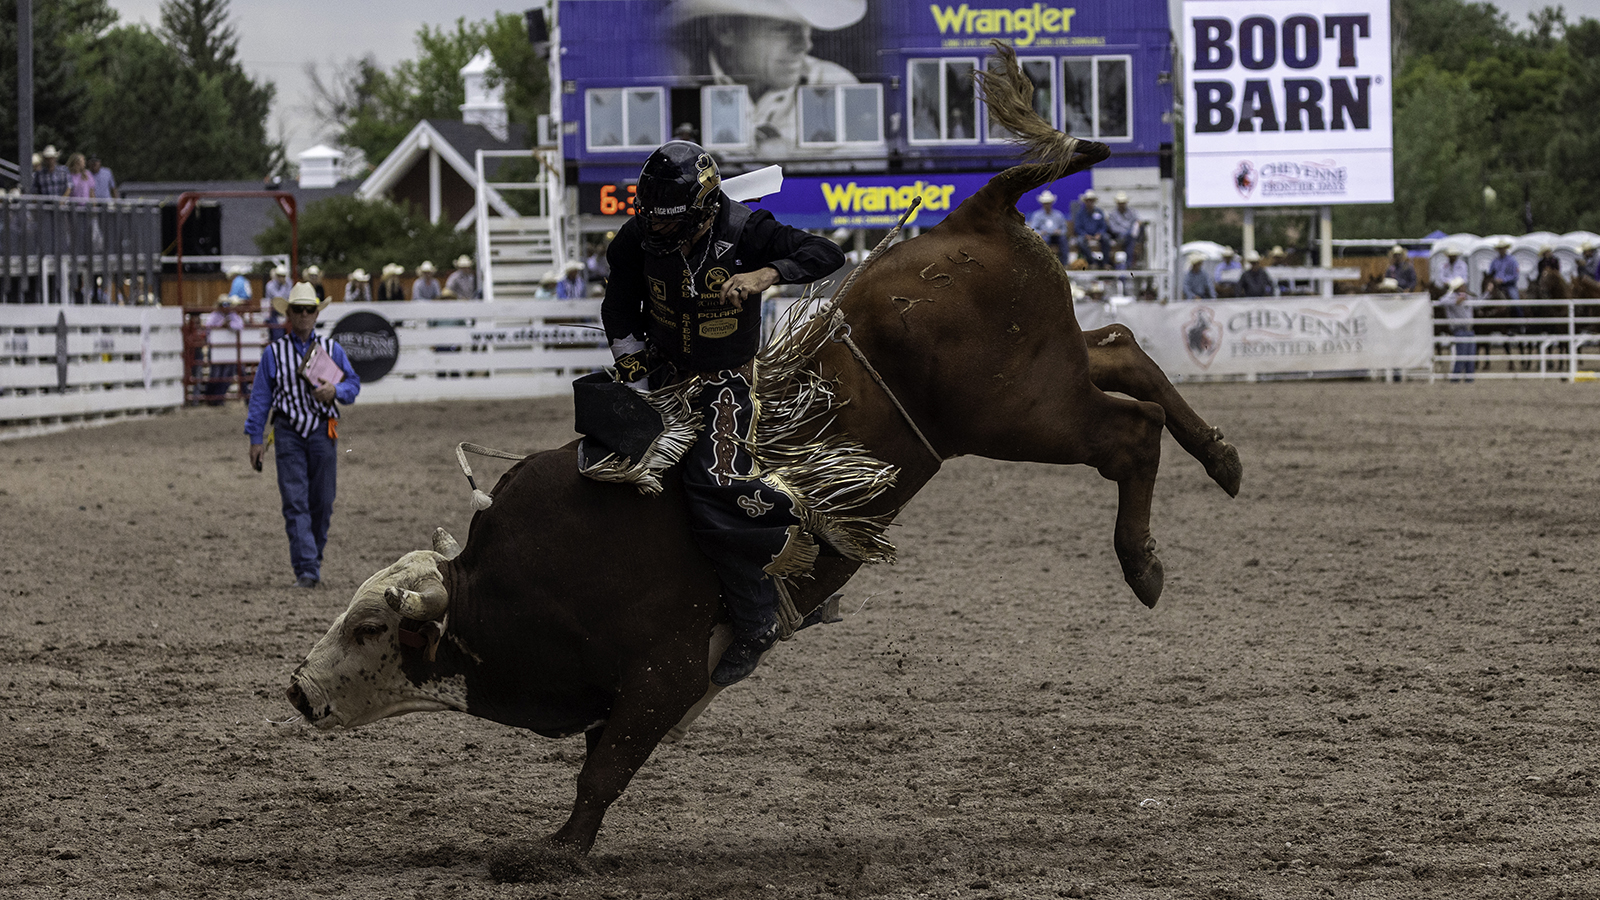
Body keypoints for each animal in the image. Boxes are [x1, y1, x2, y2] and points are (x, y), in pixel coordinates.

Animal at [284, 42, 1235, 851]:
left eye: (369, 625)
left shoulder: (663, 675)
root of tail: (972, 211)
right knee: (1123, 346)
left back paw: (1145, 562)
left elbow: (606, 767)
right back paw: (1222, 456)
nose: (296, 689)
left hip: (1022, 410)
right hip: (1046, 373)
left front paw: (554, 852)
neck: (512, 583)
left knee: (1128, 433)